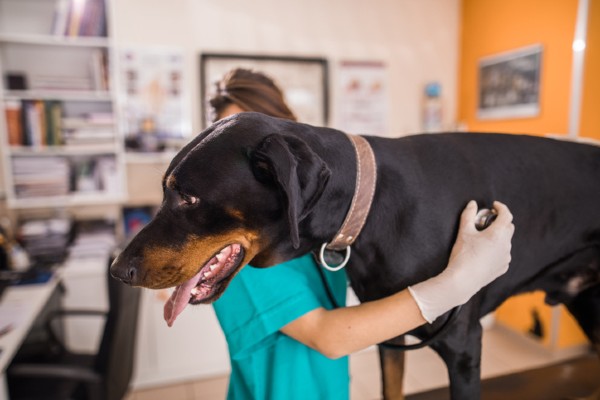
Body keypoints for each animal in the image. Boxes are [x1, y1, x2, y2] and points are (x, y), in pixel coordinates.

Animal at [110, 112, 596, 400]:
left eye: (188, 198)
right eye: (166, 191)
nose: (117, 269)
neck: (370, 204)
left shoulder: (463, 346)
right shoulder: (390, 334)